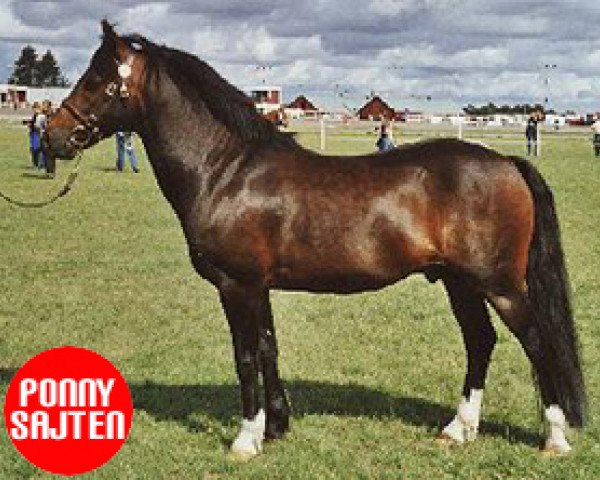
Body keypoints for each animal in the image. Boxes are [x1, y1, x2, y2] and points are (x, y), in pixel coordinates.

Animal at [45, 20, 584, 460]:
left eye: (95, 81)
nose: (53, 136)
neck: (225, 170)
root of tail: (505, 161)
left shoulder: (236, 285)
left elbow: (245, 357)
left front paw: (245, 440)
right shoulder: (257, 286)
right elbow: (268, 349)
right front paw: (276, 427)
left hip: (499, 285)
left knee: (538, 342)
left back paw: (554, 438)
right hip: (459, 282)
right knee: (480, 341)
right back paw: (457, 429)